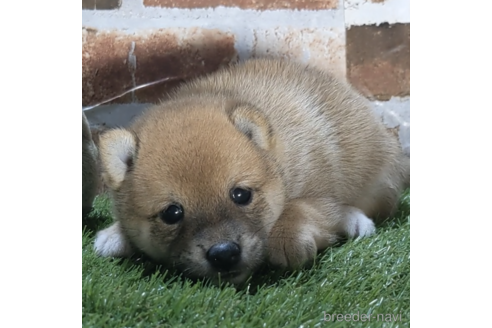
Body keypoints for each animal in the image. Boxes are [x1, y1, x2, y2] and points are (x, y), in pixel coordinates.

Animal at [94, 59, 410, 284]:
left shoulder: (319, 191)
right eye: (172, 213)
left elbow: (300, 207)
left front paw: (287, 237)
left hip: (380, 184)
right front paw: (117, 234)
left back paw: (358, 221)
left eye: (241, 195)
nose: (224, 254)